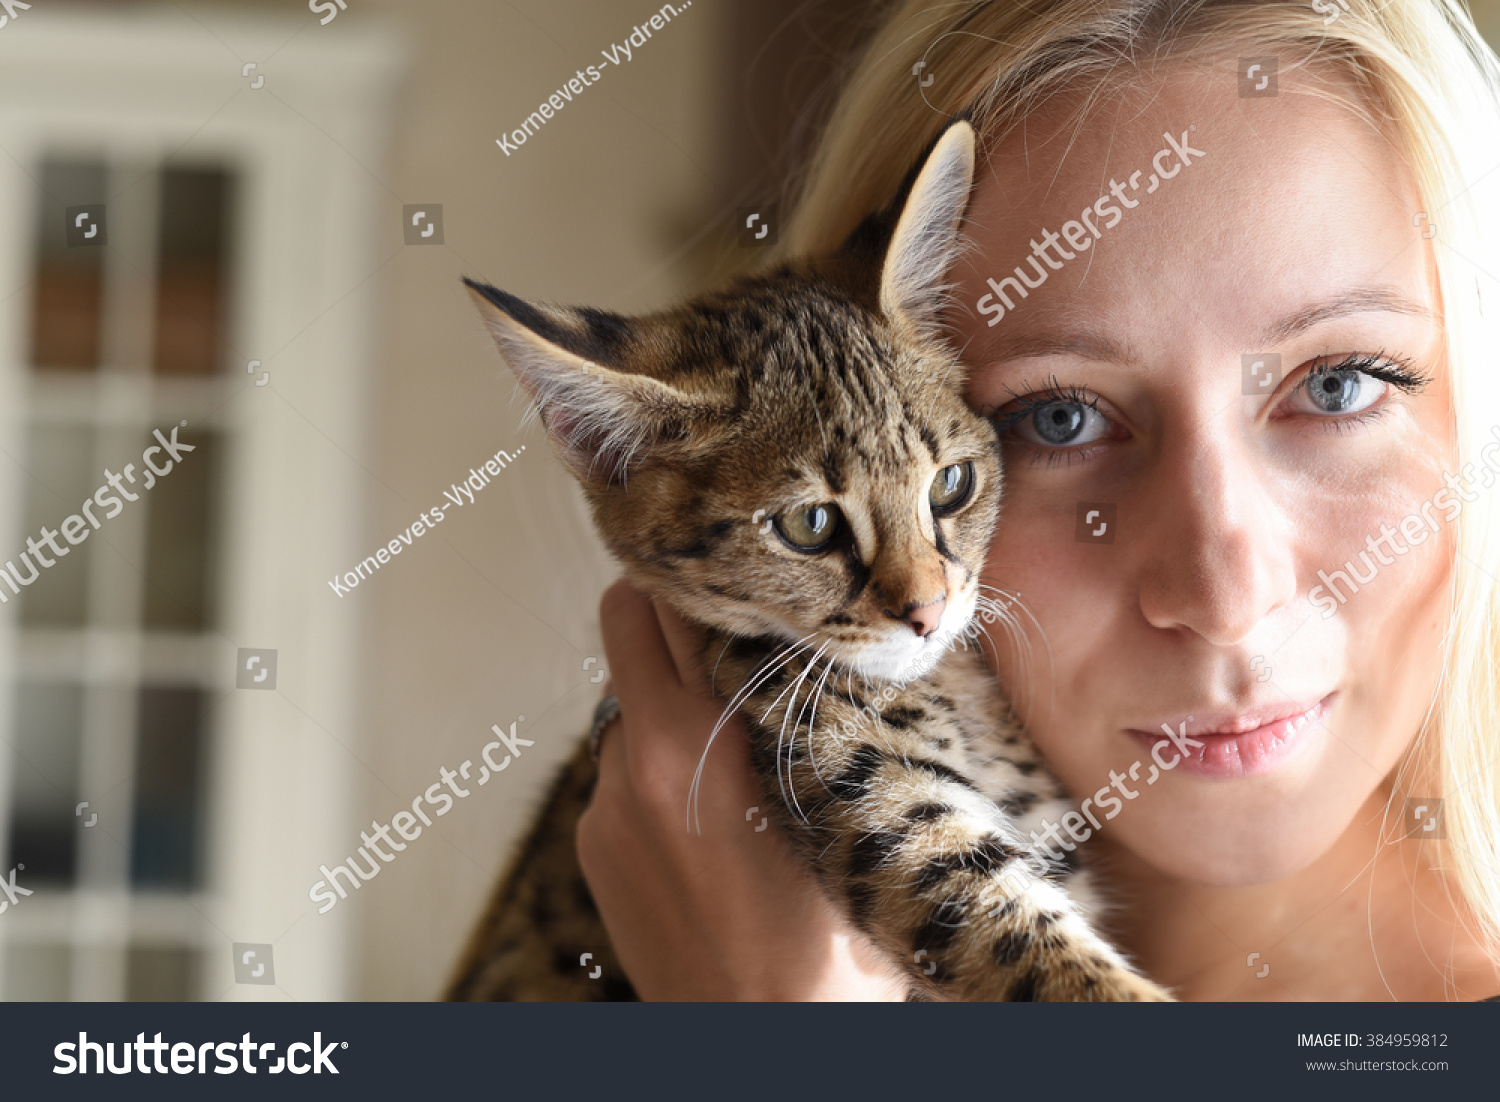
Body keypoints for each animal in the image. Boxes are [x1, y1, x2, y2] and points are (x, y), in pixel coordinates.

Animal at [444, 118, 1170, 1001]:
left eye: (952, 485)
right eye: (811, 525)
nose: (929, 612)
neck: (949, 692)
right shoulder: (872, 798)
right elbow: (1020, 940)